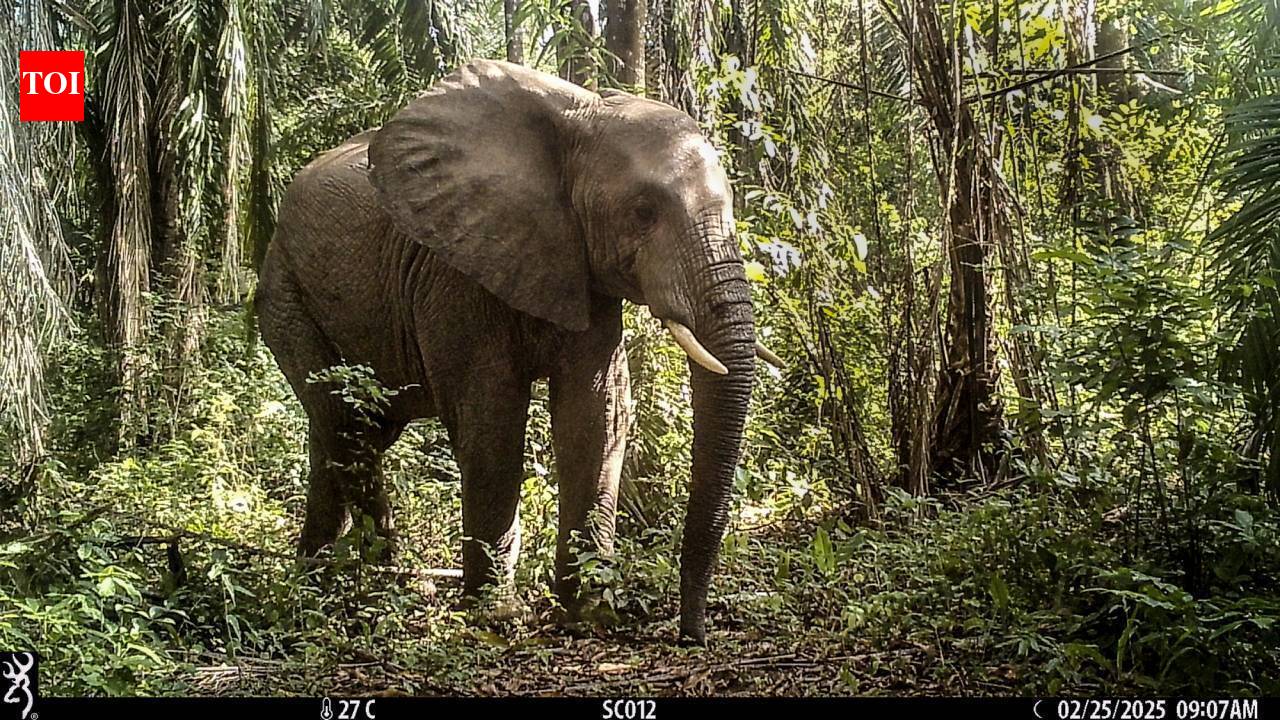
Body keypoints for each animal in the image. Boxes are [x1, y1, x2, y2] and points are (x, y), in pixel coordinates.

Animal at [256, 59, 781, 644]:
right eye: (644, 212)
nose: (692, 633)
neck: (582, 117)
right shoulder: (455, 271)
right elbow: (492, 421)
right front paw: (497, 617)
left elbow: (595, 414)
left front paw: (590, 612)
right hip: (285, 293)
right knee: (348, 425)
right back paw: (378, 585)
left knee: (343, 431)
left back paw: (316, 581)